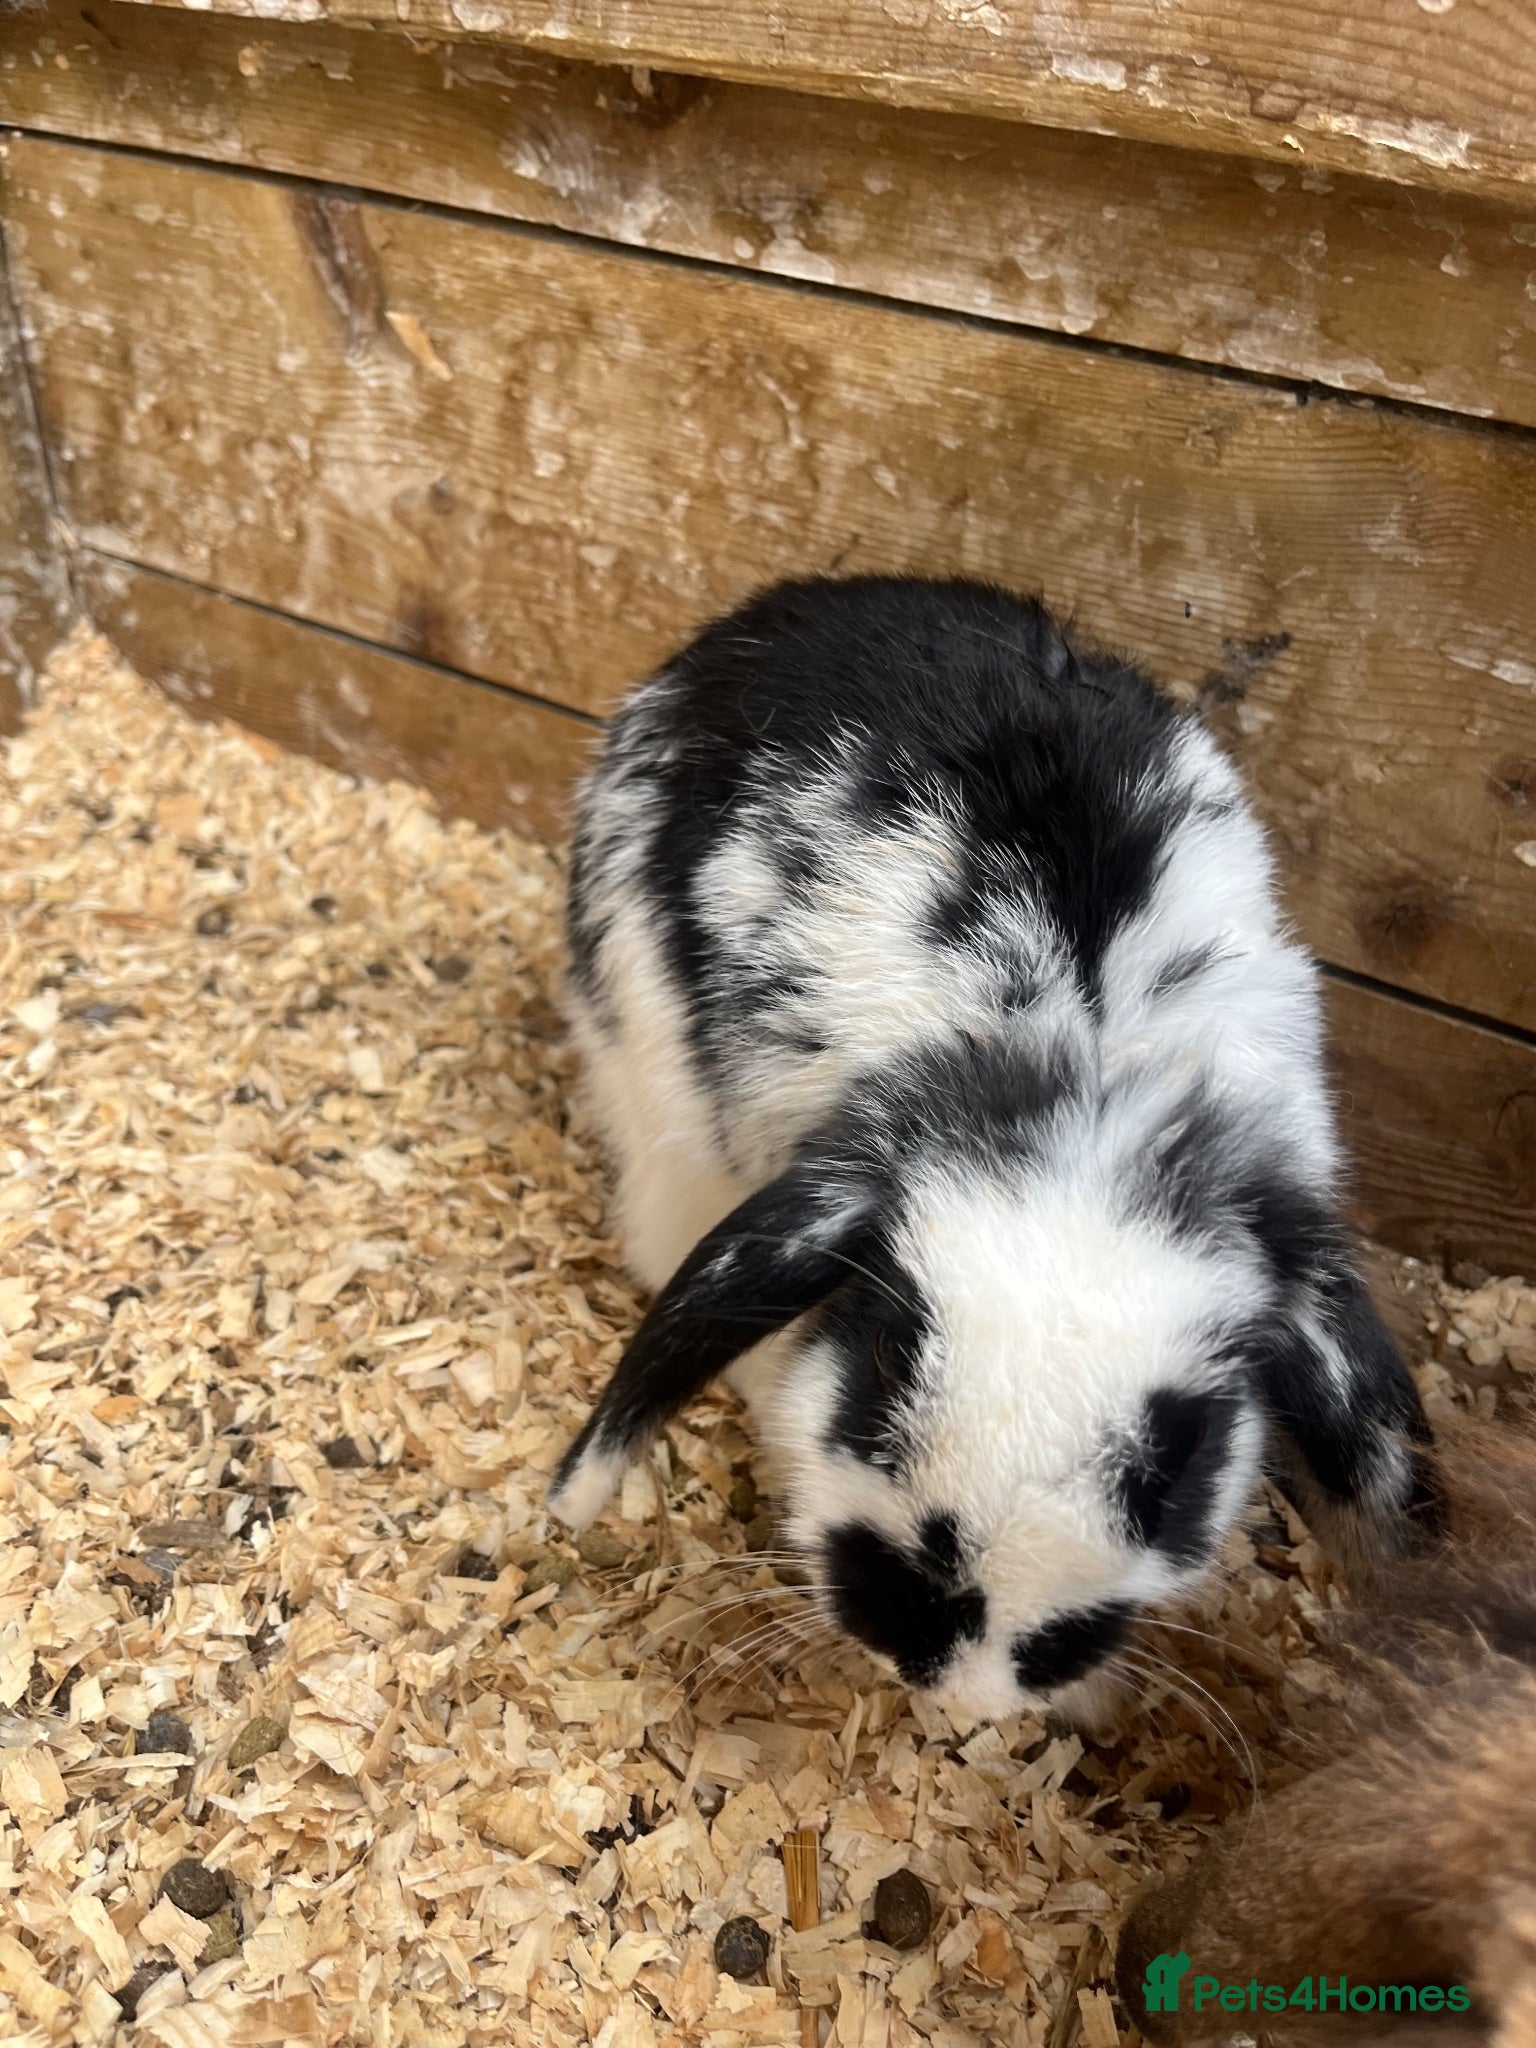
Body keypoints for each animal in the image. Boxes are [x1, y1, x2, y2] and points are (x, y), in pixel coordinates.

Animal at [549, 574, 1436, 1724]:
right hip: (652, 1076)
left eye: (1182, 1452)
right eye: (889, 1357)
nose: (958, 1670)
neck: (1088, 1060)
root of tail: (801, 602)